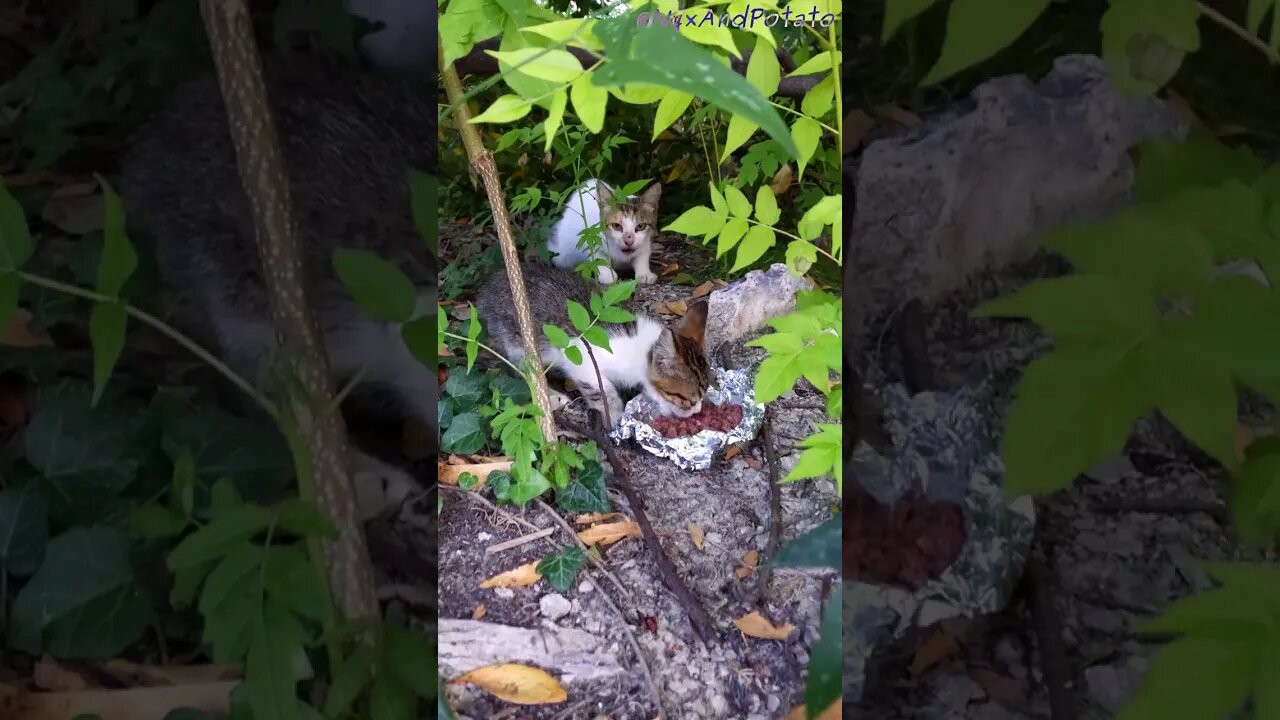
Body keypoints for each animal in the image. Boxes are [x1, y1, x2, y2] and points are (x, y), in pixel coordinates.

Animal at [476, 263, 716, 420]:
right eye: (687, 399)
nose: (697, 411)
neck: (640, 348)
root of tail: (488, 288)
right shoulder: (581, 357)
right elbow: (603, 391)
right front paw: (615, 418)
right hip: (518, 339)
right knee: (524, 371)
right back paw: (552, 397)